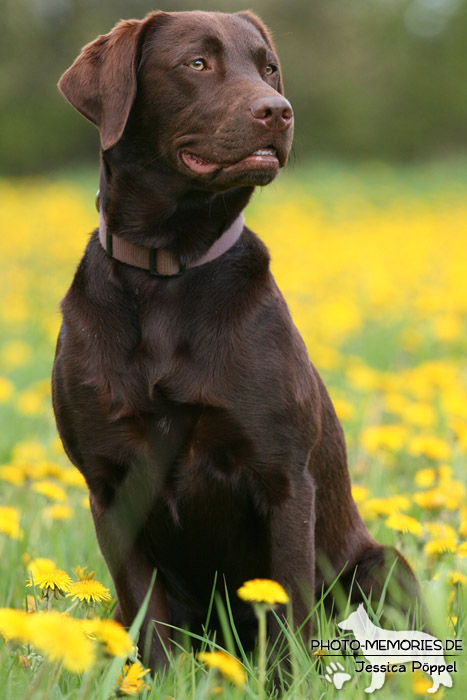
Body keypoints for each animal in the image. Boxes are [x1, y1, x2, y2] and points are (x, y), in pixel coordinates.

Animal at [53, 12, 418, 668]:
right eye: (197, 64)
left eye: (268, 67)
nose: (278, 110)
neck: (168, 270)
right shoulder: (110, 485)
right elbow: (151, 624)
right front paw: (157, 680)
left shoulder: (283, 476)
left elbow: (288, 611)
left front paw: (288, 680)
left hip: (384, 565)